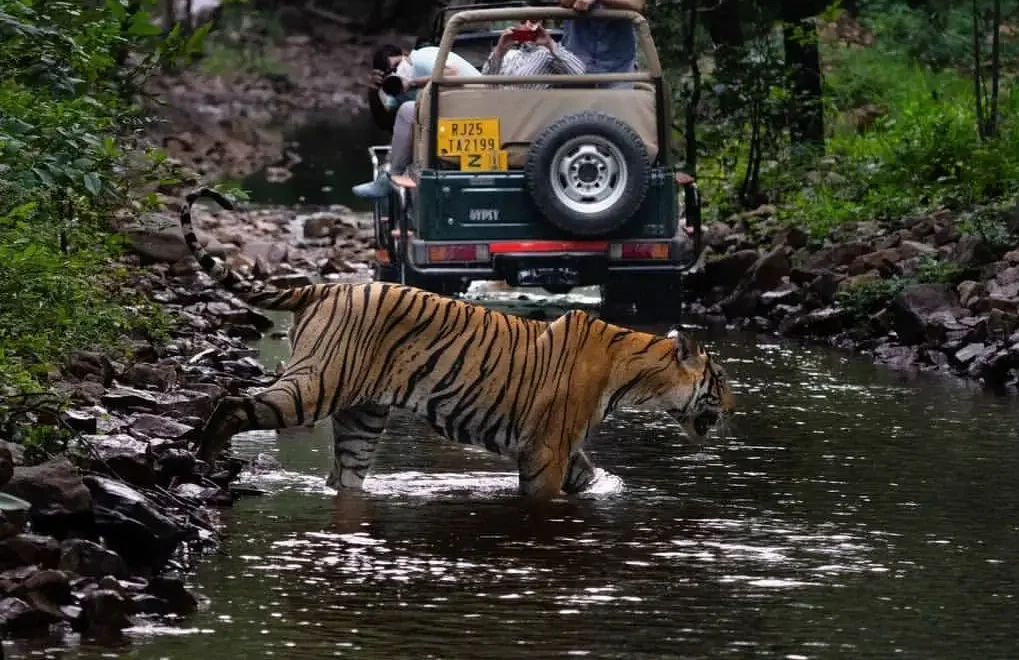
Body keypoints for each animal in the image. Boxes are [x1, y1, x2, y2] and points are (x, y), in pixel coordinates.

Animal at [178, 187, 734, 499]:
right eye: (721, 380)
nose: (732, 407)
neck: (635, 373)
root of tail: (328, 286)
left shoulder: (564, 450)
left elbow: (590, 476)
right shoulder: (546, 450)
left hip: (362, 416)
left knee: (344, 477)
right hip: (315, 384)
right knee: (232, 403)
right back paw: (201, 459)